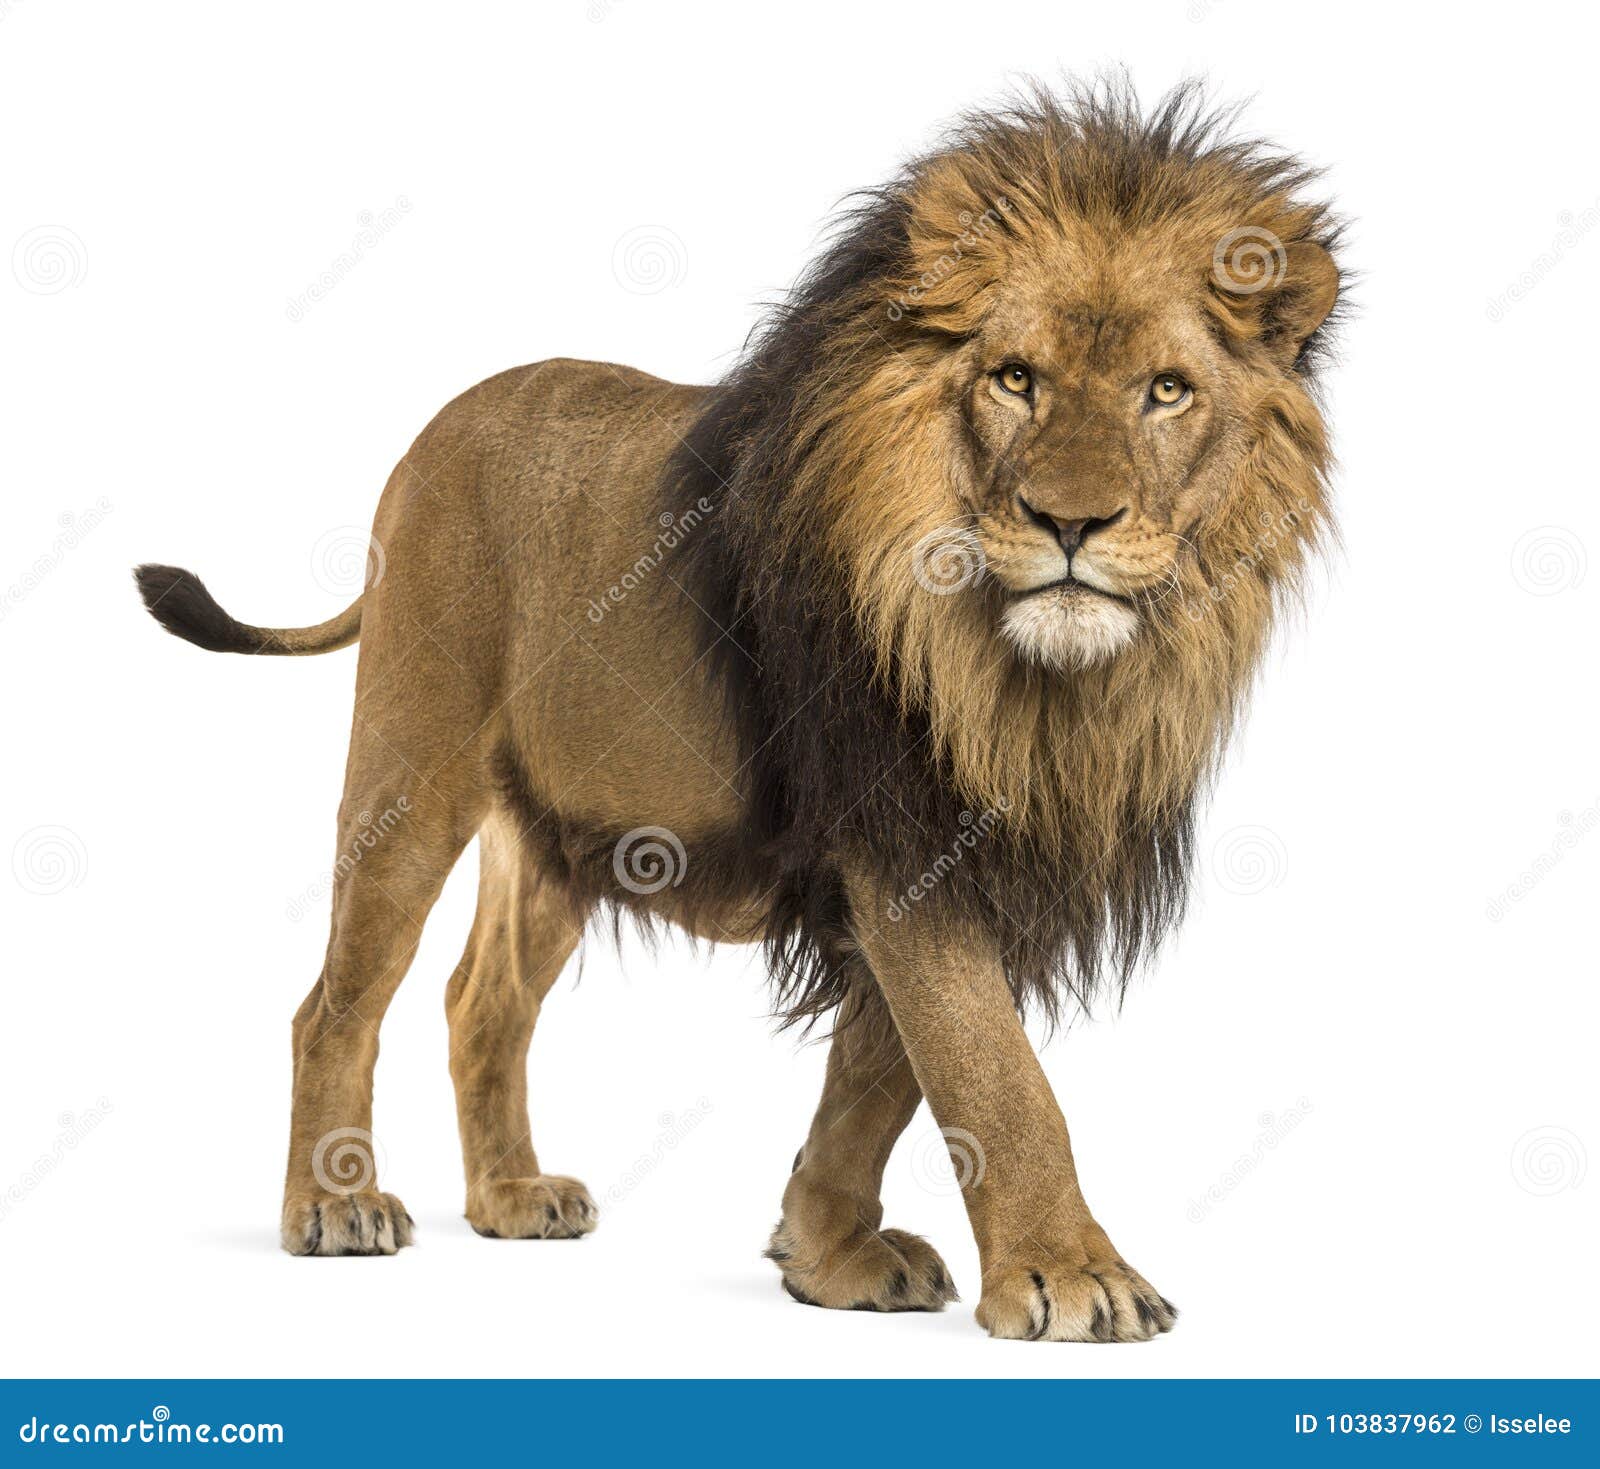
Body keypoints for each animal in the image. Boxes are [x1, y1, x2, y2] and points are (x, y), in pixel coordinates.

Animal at [134, 83, 1337, 1344]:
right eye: (1015, 378)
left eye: (1167, 390)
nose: (1072, 522)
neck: (1030, 679)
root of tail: (434, 430)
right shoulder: (896, 825)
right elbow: (991, 1069)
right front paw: (1069, 1272)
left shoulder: (963, 848)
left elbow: (879, 1072)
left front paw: (827, 1252)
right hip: (410, 771)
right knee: (334, 1000)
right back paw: (331, 1205)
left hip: (564, 829)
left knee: (482, 1002)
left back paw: (512, 1195)